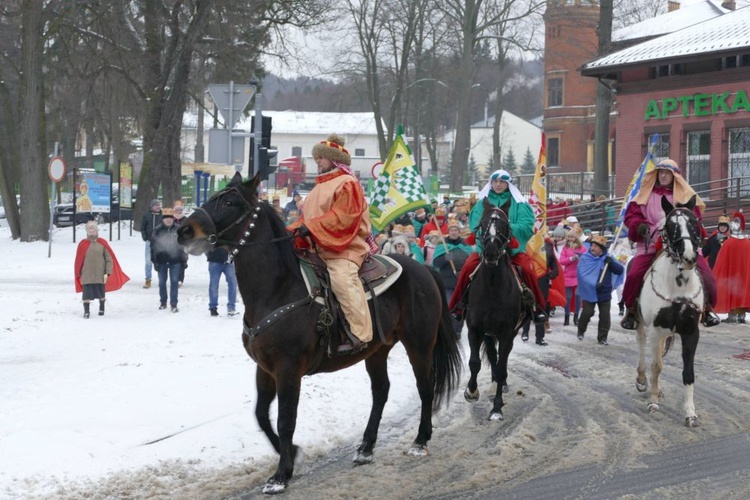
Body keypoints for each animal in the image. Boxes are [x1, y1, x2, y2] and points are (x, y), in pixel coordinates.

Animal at [178, 174, 464, 494]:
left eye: (229, 201)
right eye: (211, 197)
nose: (183, 230)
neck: (278, 287)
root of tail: (425, 270)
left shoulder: (288, 369)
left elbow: (285, 420)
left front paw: (281, 474)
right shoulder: (265, 368)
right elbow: (262, 415)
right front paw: (292, 454)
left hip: (419, 344)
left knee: (425, 387)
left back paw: (420, 441)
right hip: (377, 350)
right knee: (381, 391)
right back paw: (366, 448)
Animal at [462, 199, 524, 422]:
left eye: (504, 225)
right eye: (482, 223)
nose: (489, 252)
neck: (493, 288)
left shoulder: (506, 333)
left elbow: (502, 367)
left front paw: (497, 407)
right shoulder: (475, 329)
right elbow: (474, 362)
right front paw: (471, 391)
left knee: (500, 363)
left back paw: (500, 384)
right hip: (489, 334)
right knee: (492, 355)